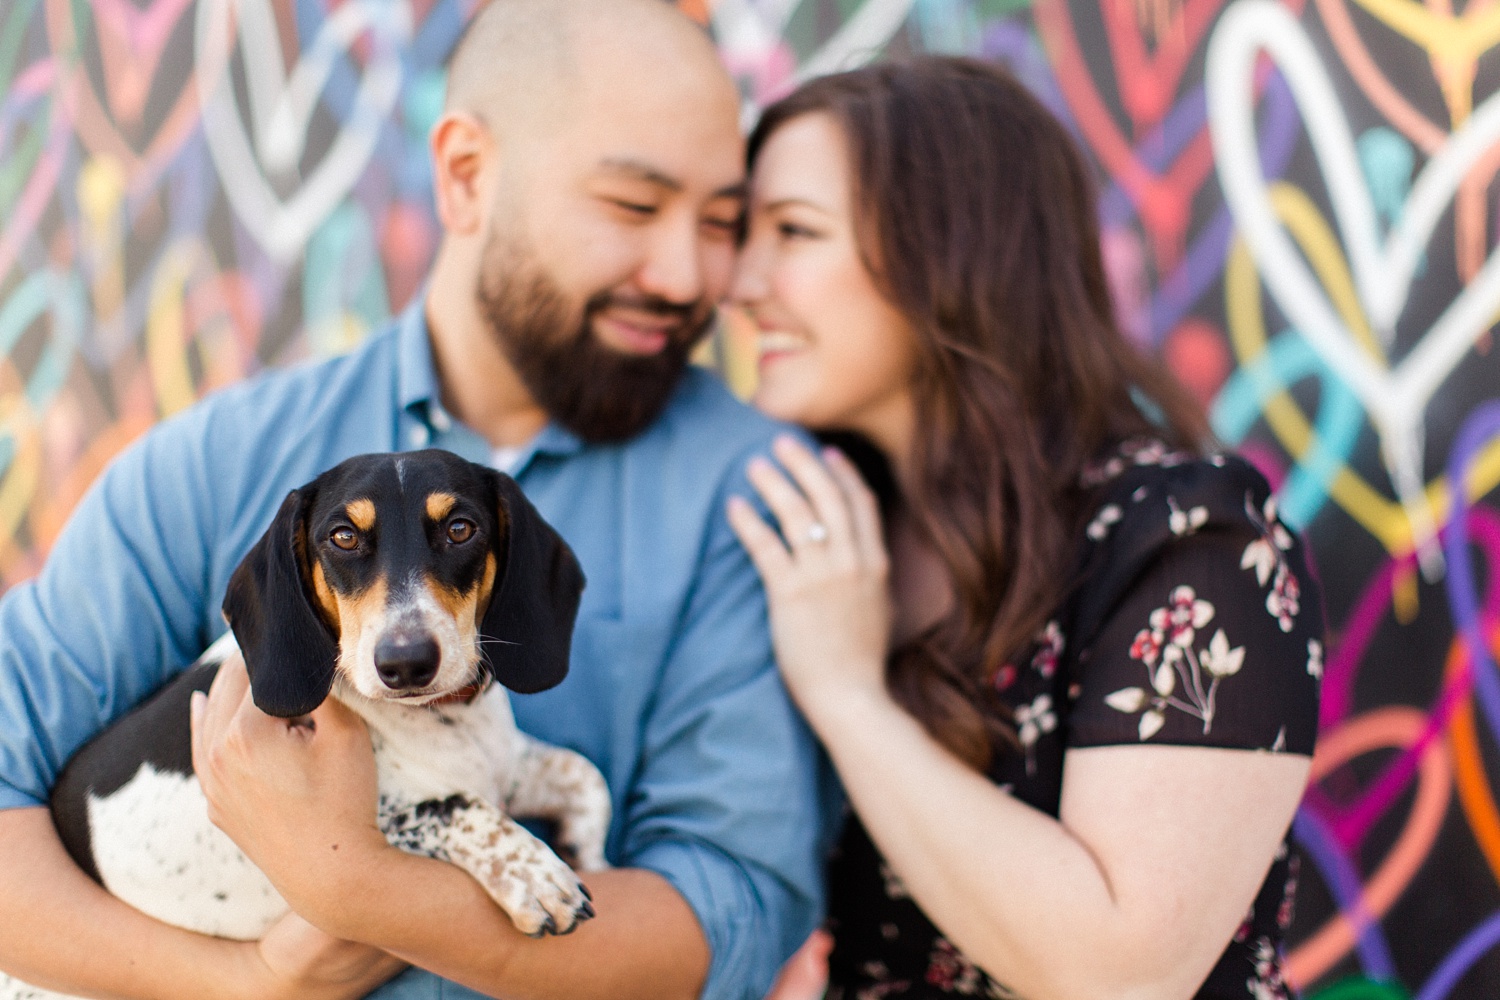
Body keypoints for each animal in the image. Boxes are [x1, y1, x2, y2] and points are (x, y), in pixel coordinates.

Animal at [1, 452, 609, 1000]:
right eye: (343, 537)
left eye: (461, 529)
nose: (405, 662)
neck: (444, 721)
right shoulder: (380, 815)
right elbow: (460, 806)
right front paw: (535, 874)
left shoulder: (510, 767)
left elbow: (585, 776)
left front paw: (588, 853)